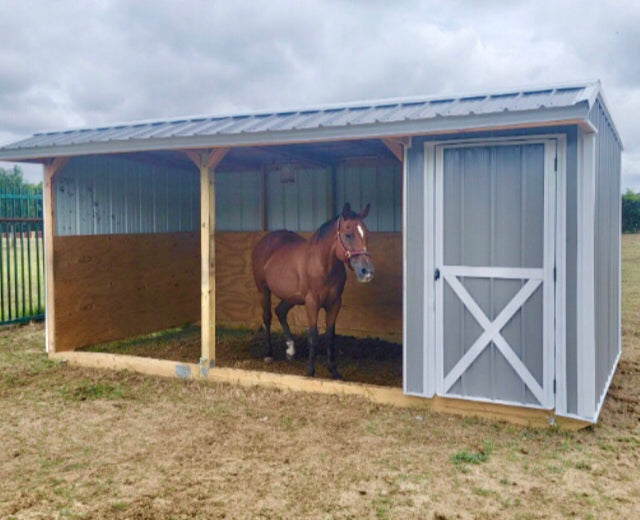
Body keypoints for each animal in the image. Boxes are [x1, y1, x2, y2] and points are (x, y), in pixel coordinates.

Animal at [251, 202, 376, 378]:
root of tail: (265, 241)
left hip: (293, 297)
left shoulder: (334, 303)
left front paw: (333, 370)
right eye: (348, 234)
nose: (367, 272)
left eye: (366, 235)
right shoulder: (311, 302)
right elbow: (313, 335)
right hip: (264, 290)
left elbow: (330, 336)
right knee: (268, 317)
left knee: (280, 311)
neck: (323, 264)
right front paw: (310, 371)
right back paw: (269, 354)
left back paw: (291, 350)